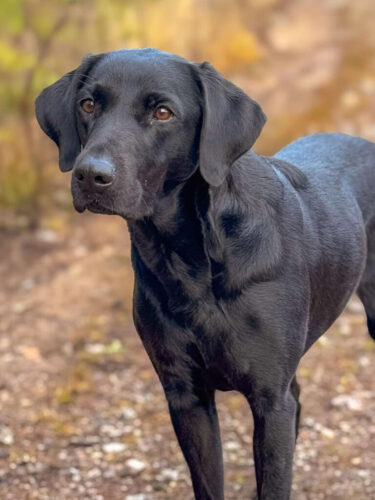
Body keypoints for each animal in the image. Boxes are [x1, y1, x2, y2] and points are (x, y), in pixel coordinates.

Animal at [35, 48, 375, 498]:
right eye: (88, 104)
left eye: (163, 112)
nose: (91, 174)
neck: (190, 259)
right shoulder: (187, 396)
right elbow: (209, 484)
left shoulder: (270, 401)